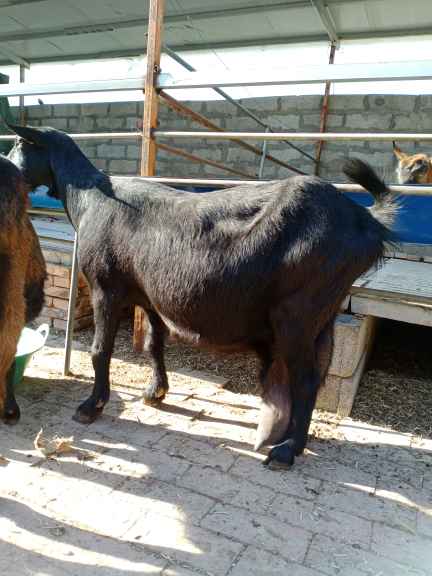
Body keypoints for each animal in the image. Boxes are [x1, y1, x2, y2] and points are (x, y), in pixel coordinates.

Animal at [7, 124, 398, 466]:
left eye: (18, 144)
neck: (89, 198)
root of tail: (367, 221)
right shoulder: (150, 296)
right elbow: (154, 344)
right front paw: (155, 392)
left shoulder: (106, 288)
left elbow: (100, 350)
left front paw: (92, 406)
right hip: (324, 313)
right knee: (315, 372)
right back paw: (289, 437)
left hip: (298, 314)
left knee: (305, 378)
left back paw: (287, 452)